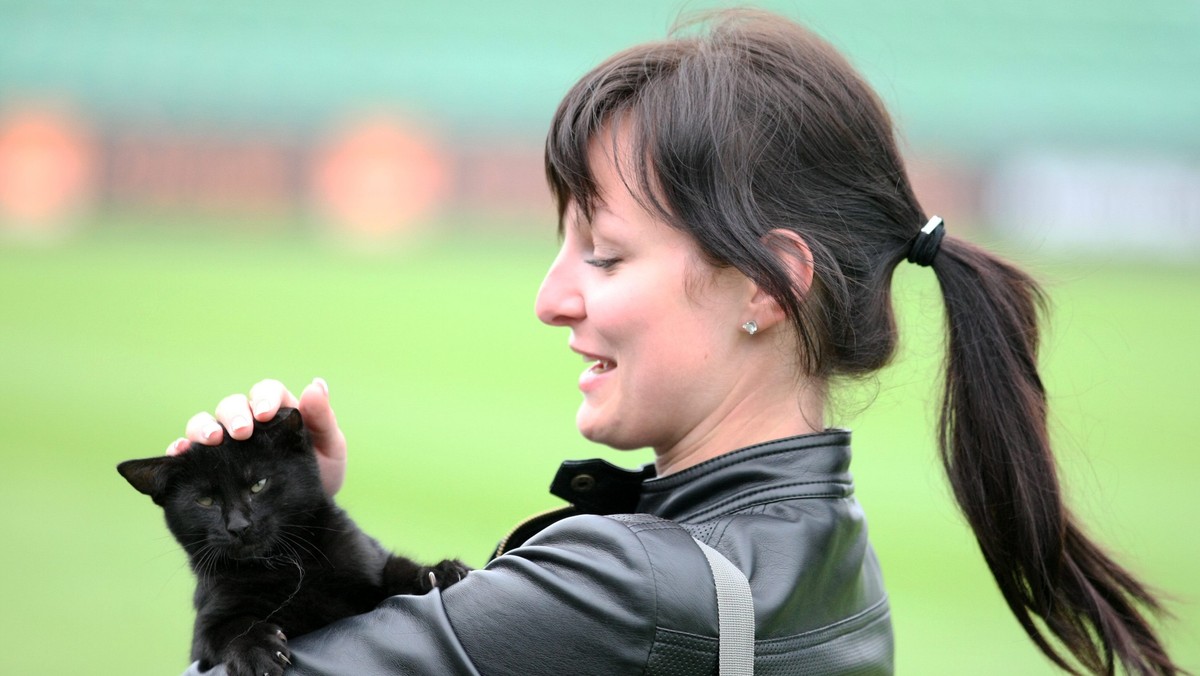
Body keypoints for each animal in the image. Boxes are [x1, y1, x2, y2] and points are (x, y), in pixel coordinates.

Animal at [118, 408, 468, 676]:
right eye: (205, 501)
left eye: (258, 484)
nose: (238, 526)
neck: (287, 565)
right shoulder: (207, 625)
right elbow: (225, 629)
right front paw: (257, 653)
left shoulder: (368, 561)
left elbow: (396, 569)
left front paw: (439, 573)